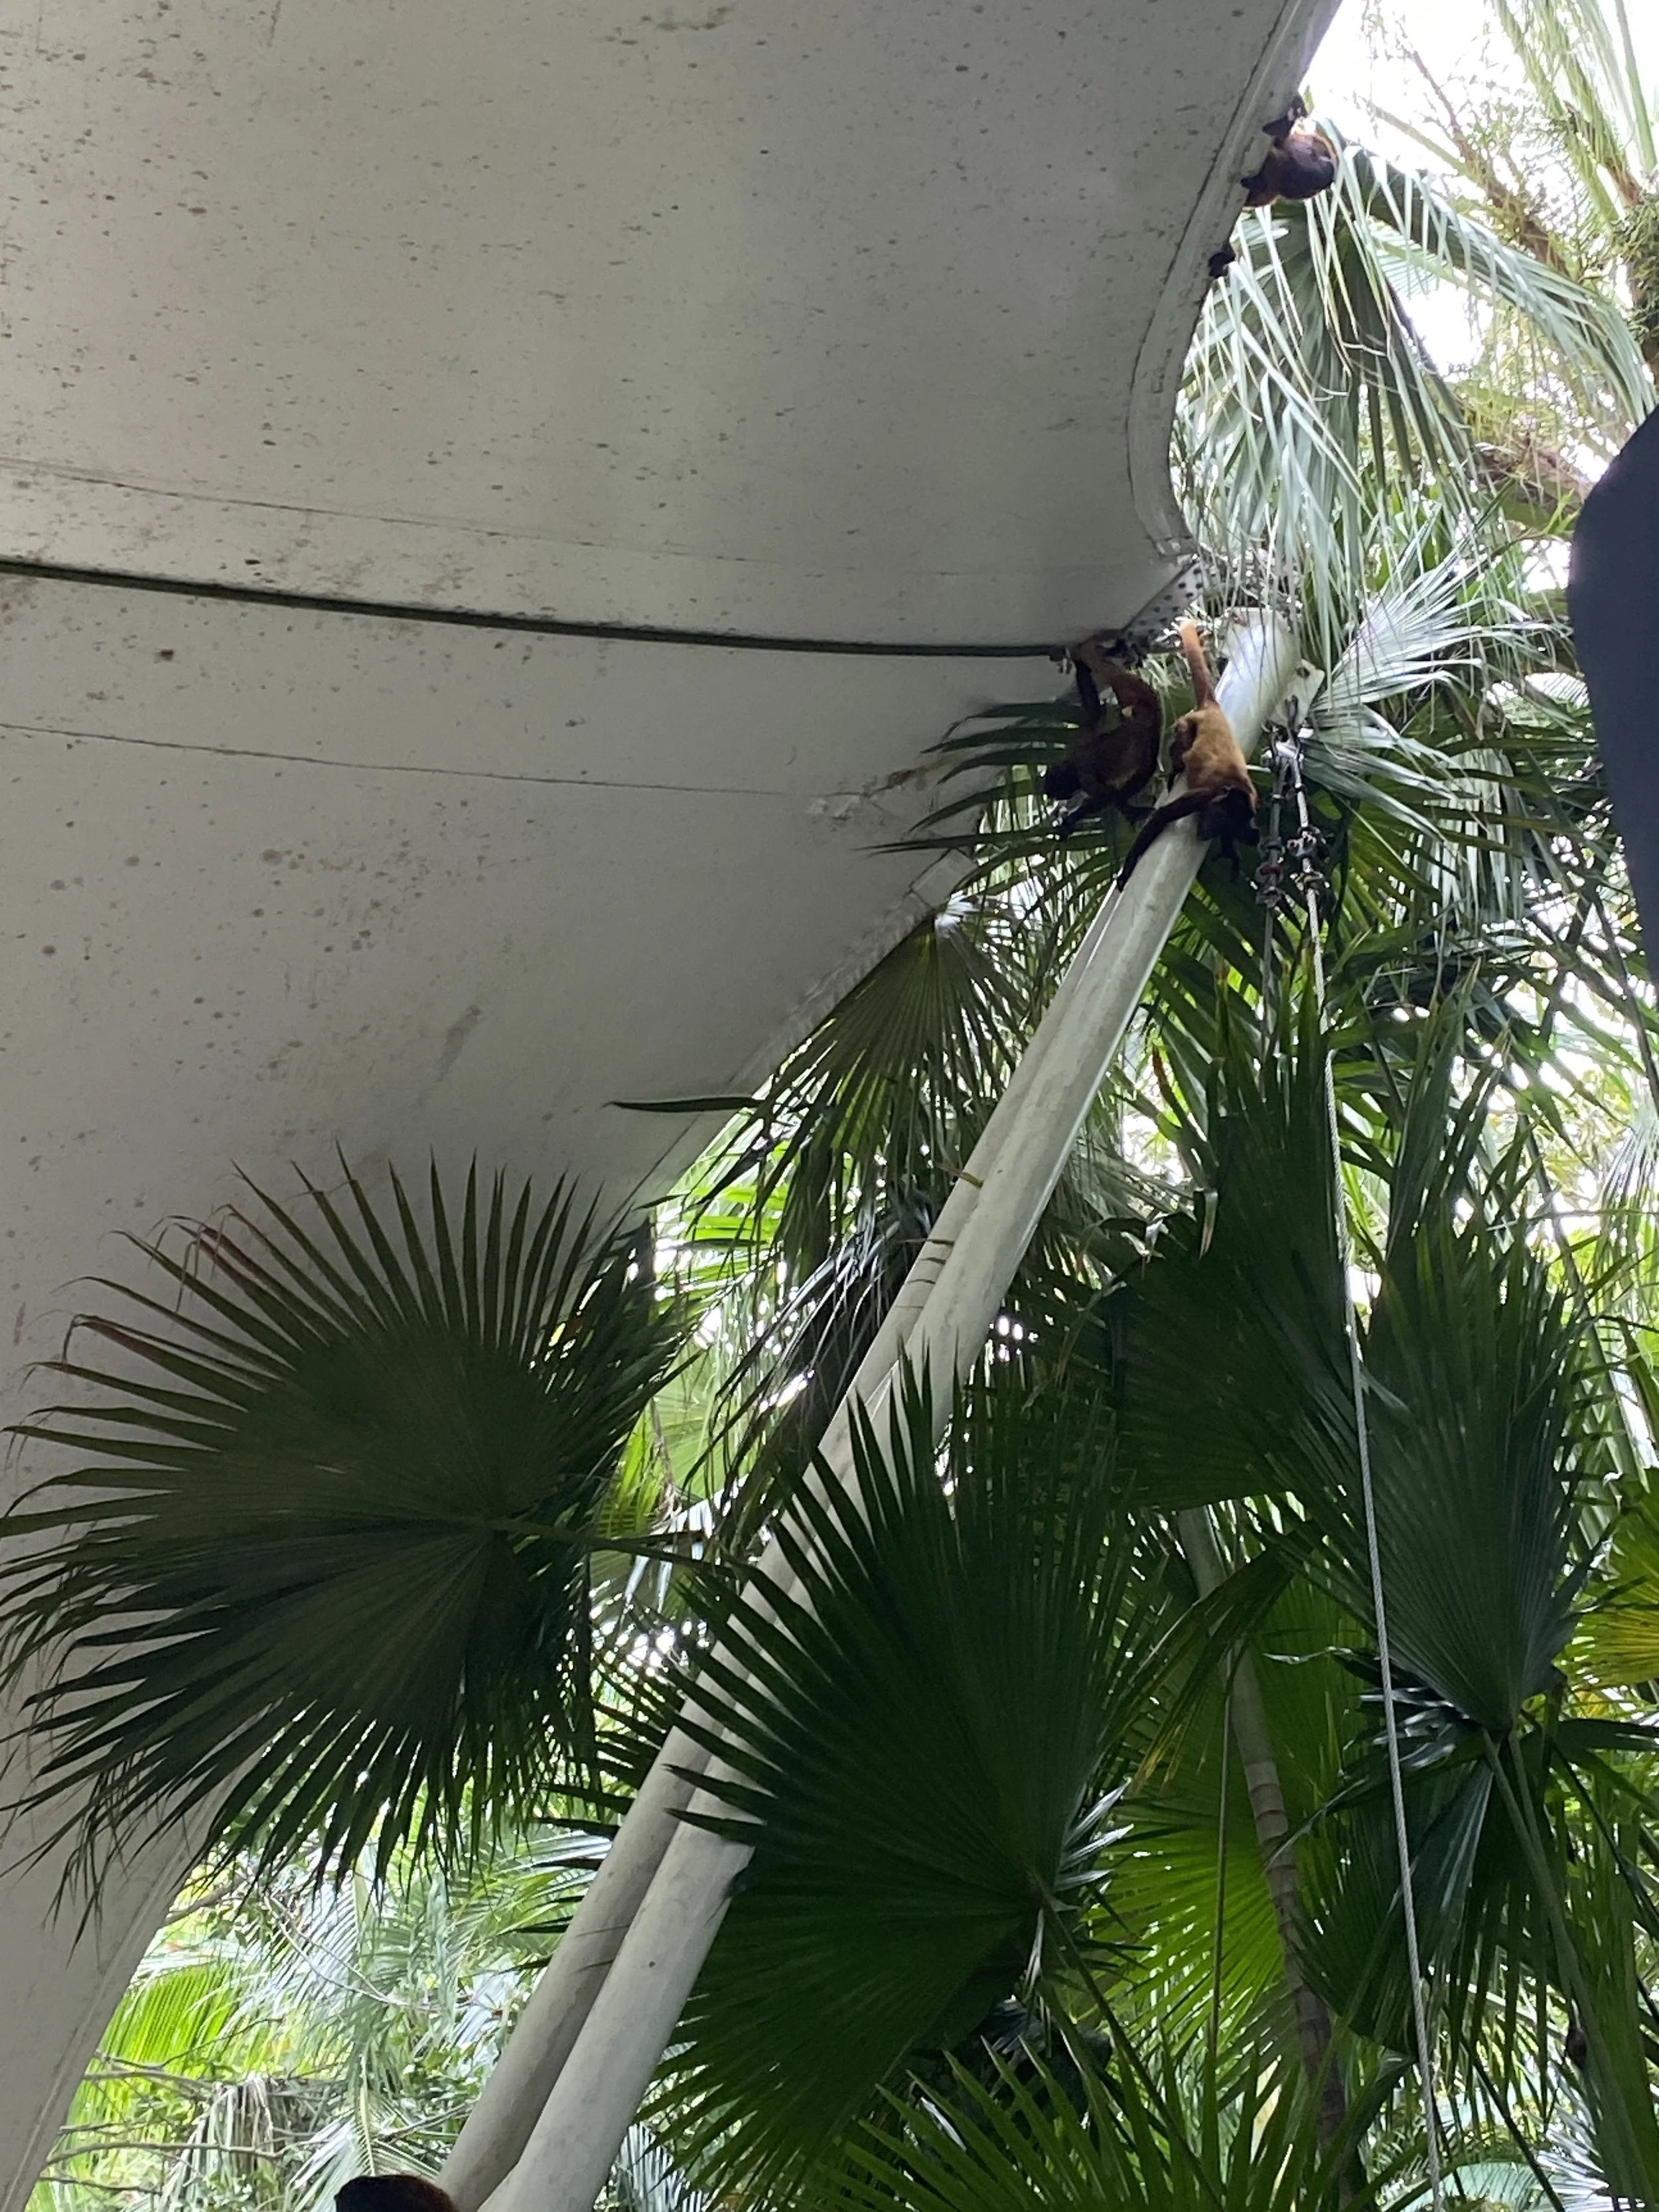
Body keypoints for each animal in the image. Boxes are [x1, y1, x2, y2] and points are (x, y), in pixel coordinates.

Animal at [1042, 635, 1162, 840]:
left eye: (1058, 792)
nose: (1053, 798)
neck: (1073, 761)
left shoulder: (1084, 773)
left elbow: (1106, 795)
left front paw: (1070, 821)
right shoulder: (1080, 740)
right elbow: (1094, 714)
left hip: (1134, 703)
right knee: (1146, 768)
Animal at [1113, 623, 1257, 889]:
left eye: (1223, 825)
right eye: (1219, 818)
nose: (1207, 833)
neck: (1232, 789)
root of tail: (1212, 709)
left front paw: (1230, 849)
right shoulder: (1204, 796)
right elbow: (1163, 815)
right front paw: (1127, 870)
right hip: (1186, 723)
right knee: (1181, 746)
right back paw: (1177, 766)